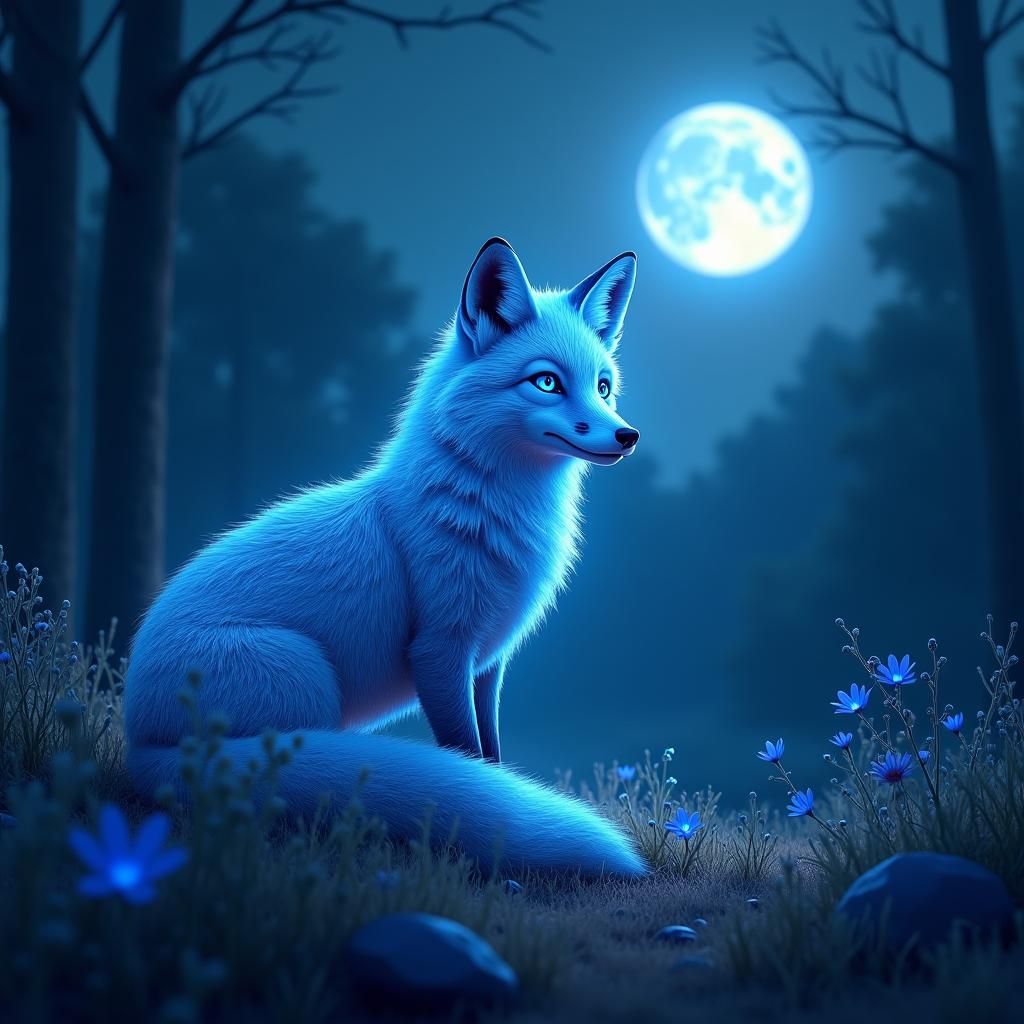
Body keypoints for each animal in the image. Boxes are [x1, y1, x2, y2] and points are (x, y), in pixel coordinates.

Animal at [125, 237, 646, 876]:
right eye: (546, 382)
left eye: (603, 386)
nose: (626, 435)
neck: (494, 514)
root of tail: (136, 740)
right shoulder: (440, 651)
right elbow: (465, 754)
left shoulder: (489, 663)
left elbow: (492, 757)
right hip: (307, 679)